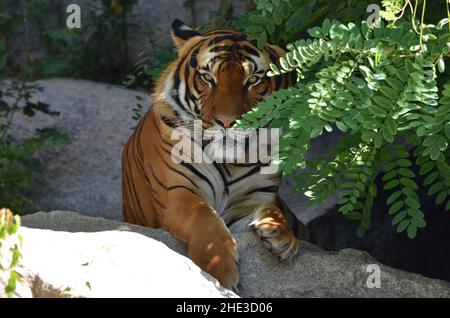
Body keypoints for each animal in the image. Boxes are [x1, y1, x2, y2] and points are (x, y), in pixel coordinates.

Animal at [121, 18, 318, 290]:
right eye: (207, 77)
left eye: (253, 80)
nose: (227, 122)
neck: (229, 162)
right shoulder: (176, 193)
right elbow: (202, 215)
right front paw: (220, 269)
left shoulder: (254, 198)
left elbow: (272, 209)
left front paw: (281, 236)